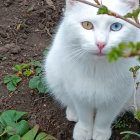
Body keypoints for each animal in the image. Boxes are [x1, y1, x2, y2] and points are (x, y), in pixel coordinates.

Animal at [44, 0, 140, 139]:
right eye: (87, 25)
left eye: (116, 26)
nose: (101, 44)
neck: (97, 67)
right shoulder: (79, 94)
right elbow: (84, 116)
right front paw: (83, 132)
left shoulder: (117, 97)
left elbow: (104, 119)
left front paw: (100, 134)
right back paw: (72, 113)